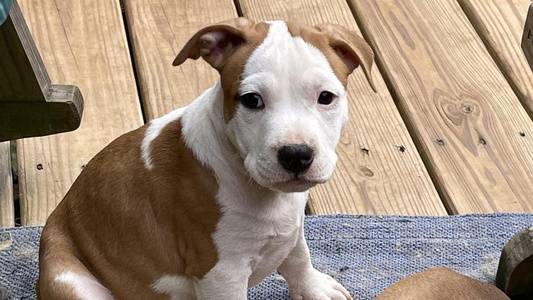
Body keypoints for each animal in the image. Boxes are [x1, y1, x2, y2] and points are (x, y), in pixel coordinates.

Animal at [36, 18, 374, 300]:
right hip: (71, 282)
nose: (296, 155)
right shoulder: (220, 272)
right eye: (251, 100)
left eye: (326, 97)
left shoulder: (292, 225)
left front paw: (314, 288)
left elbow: (298, 256)